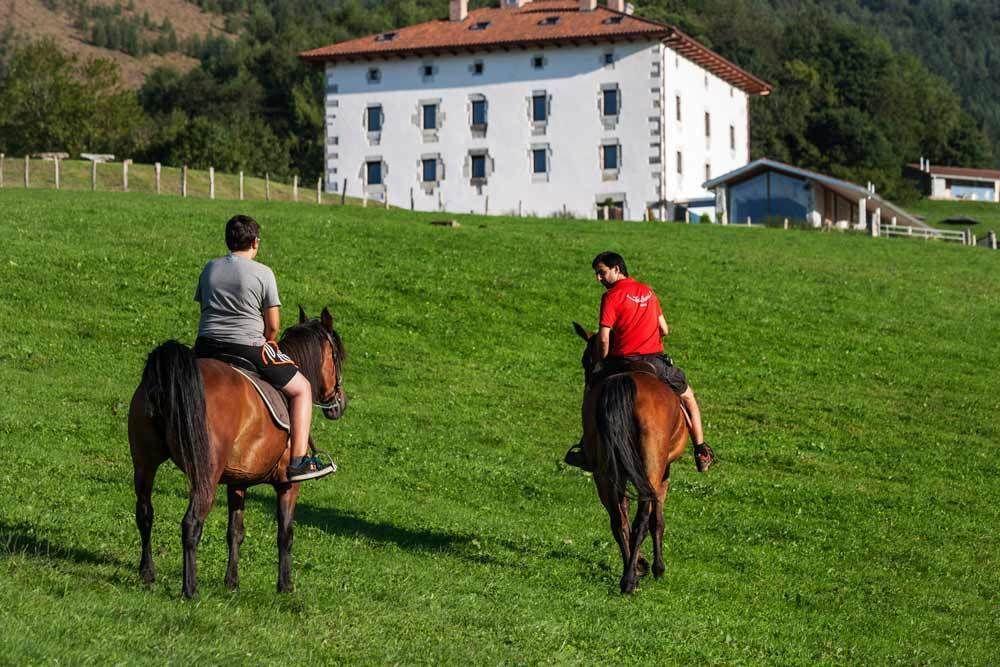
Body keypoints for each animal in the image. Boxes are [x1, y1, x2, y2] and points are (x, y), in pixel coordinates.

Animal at [129, 308, 348, 600]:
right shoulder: (288, 485)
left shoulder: (238, 481)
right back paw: (190, 589)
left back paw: (147, 573)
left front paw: (231, 581)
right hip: (205, 475)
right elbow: (285, 533)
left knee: (145, 513)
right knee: (191, 524)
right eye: (337, 357)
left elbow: (235, 531)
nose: (340, 404)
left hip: (144, 463)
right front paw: (285, 585)